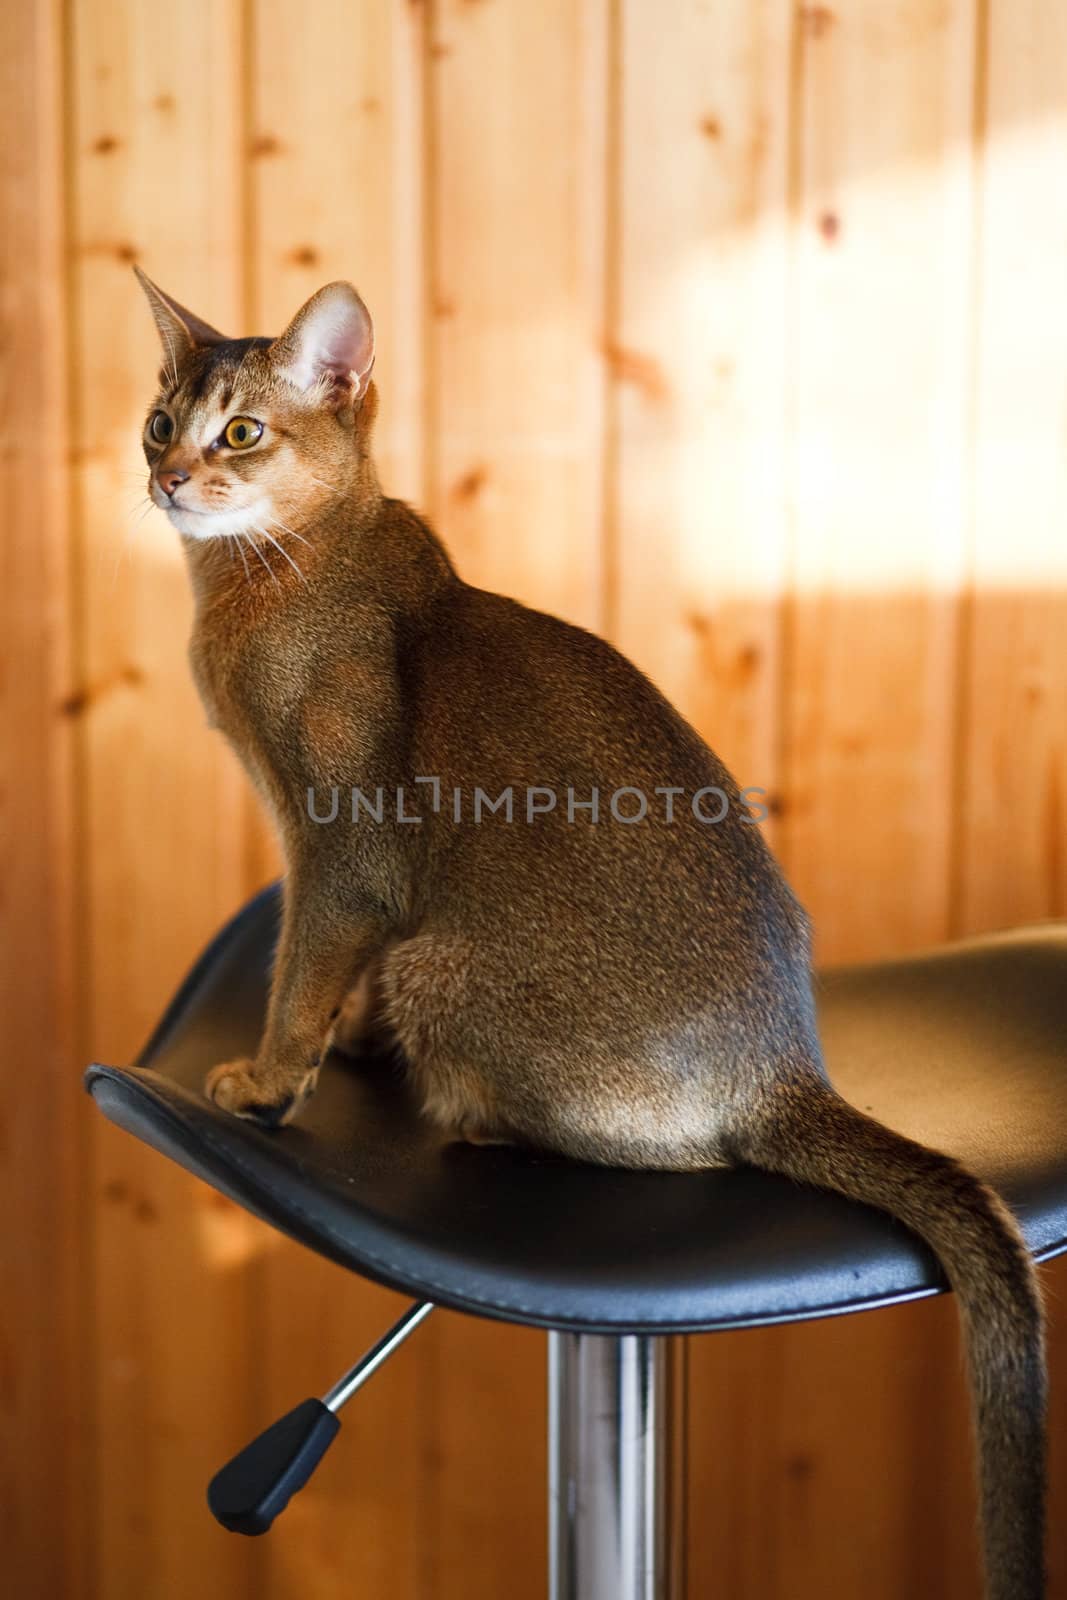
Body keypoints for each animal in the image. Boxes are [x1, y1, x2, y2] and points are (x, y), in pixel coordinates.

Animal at [137, 268, 1049, 1593]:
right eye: (161, 422)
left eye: (241, 432)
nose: (165, 476)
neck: (284, 574)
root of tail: (782, 1067)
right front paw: (339, 1046)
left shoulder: (341, 856)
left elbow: (301, 969)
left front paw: (266, 1079)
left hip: (447, 969)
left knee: (682, 1155)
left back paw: (475, 1116)